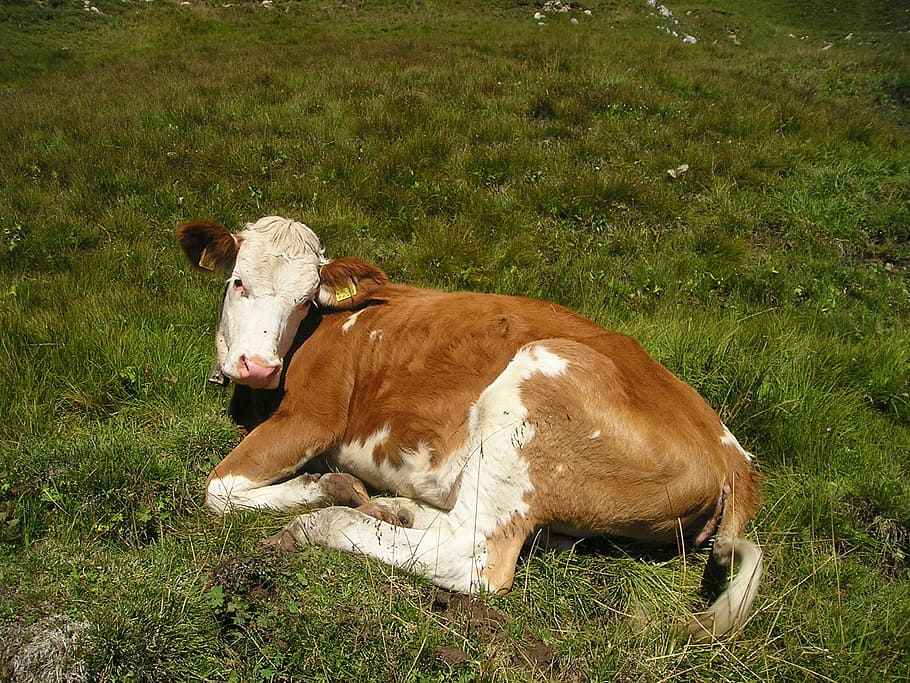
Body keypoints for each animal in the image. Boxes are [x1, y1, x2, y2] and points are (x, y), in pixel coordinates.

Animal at [177, 215, 763, 640]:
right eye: (237, 282)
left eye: (304, 301)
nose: (258, 366)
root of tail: (730, 451)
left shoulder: (309, 417)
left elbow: (218, 491)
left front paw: (322, 486)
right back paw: (390, 506)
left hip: (533, 391)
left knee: (471, 555)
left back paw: (324, 519)